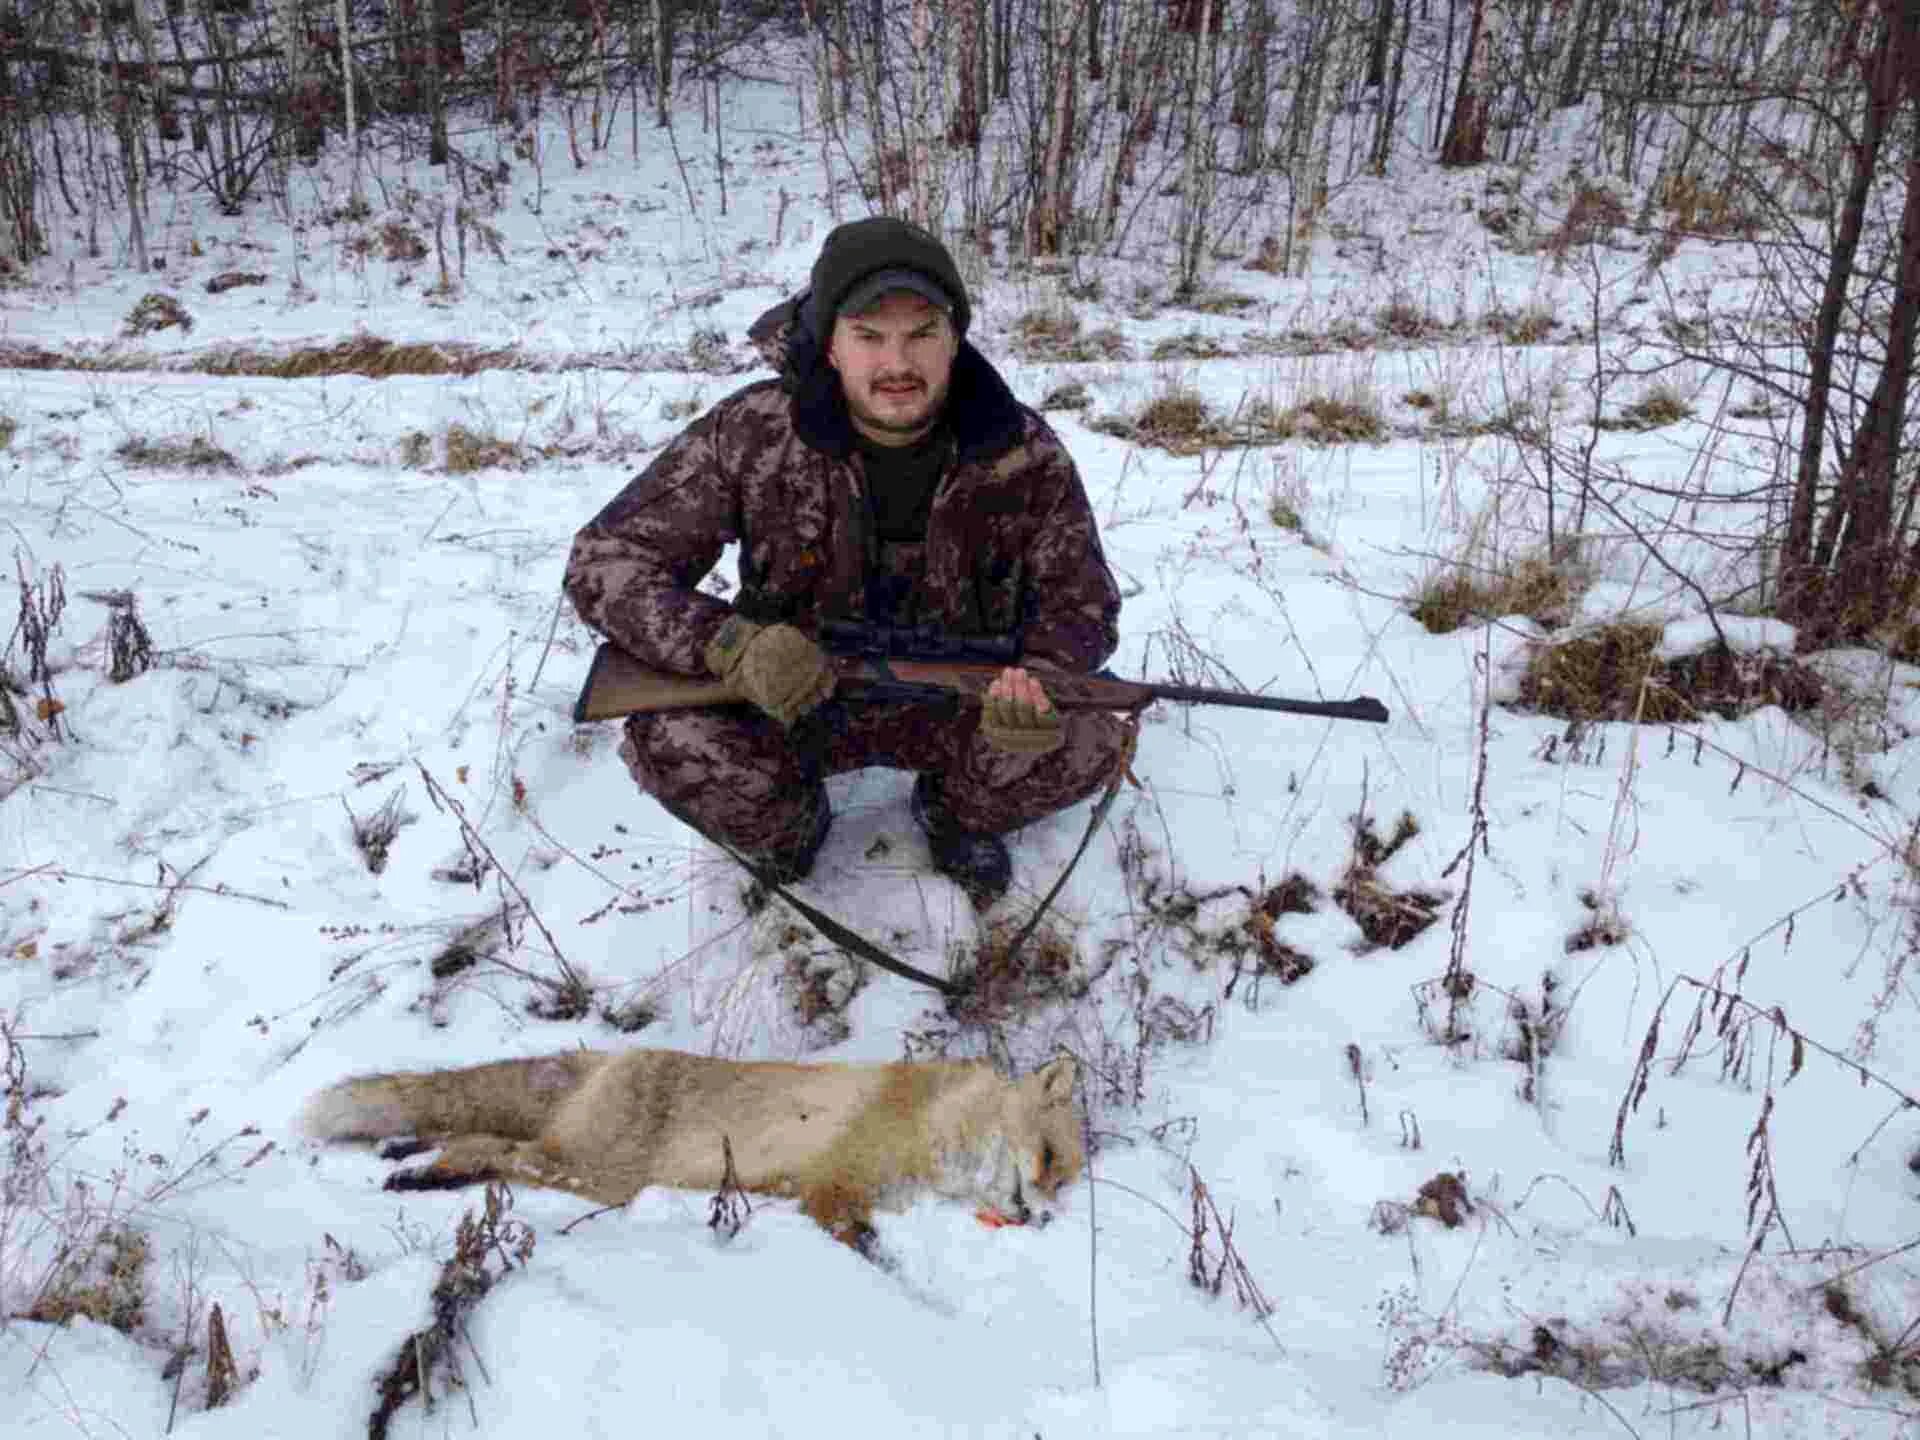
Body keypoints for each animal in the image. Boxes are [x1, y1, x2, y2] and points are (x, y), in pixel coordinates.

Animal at [299, 1044, 1082, 1244]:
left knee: (469, 1130)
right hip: (595, 1174)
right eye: (1047, 1164)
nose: (1044, 1219)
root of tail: (608, 1055)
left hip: (576, 1162)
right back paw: (421, 1172)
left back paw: (405, 1155)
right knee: (486, 1142)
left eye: (1065, 1182)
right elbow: (859, 1241)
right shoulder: (830, 1181)